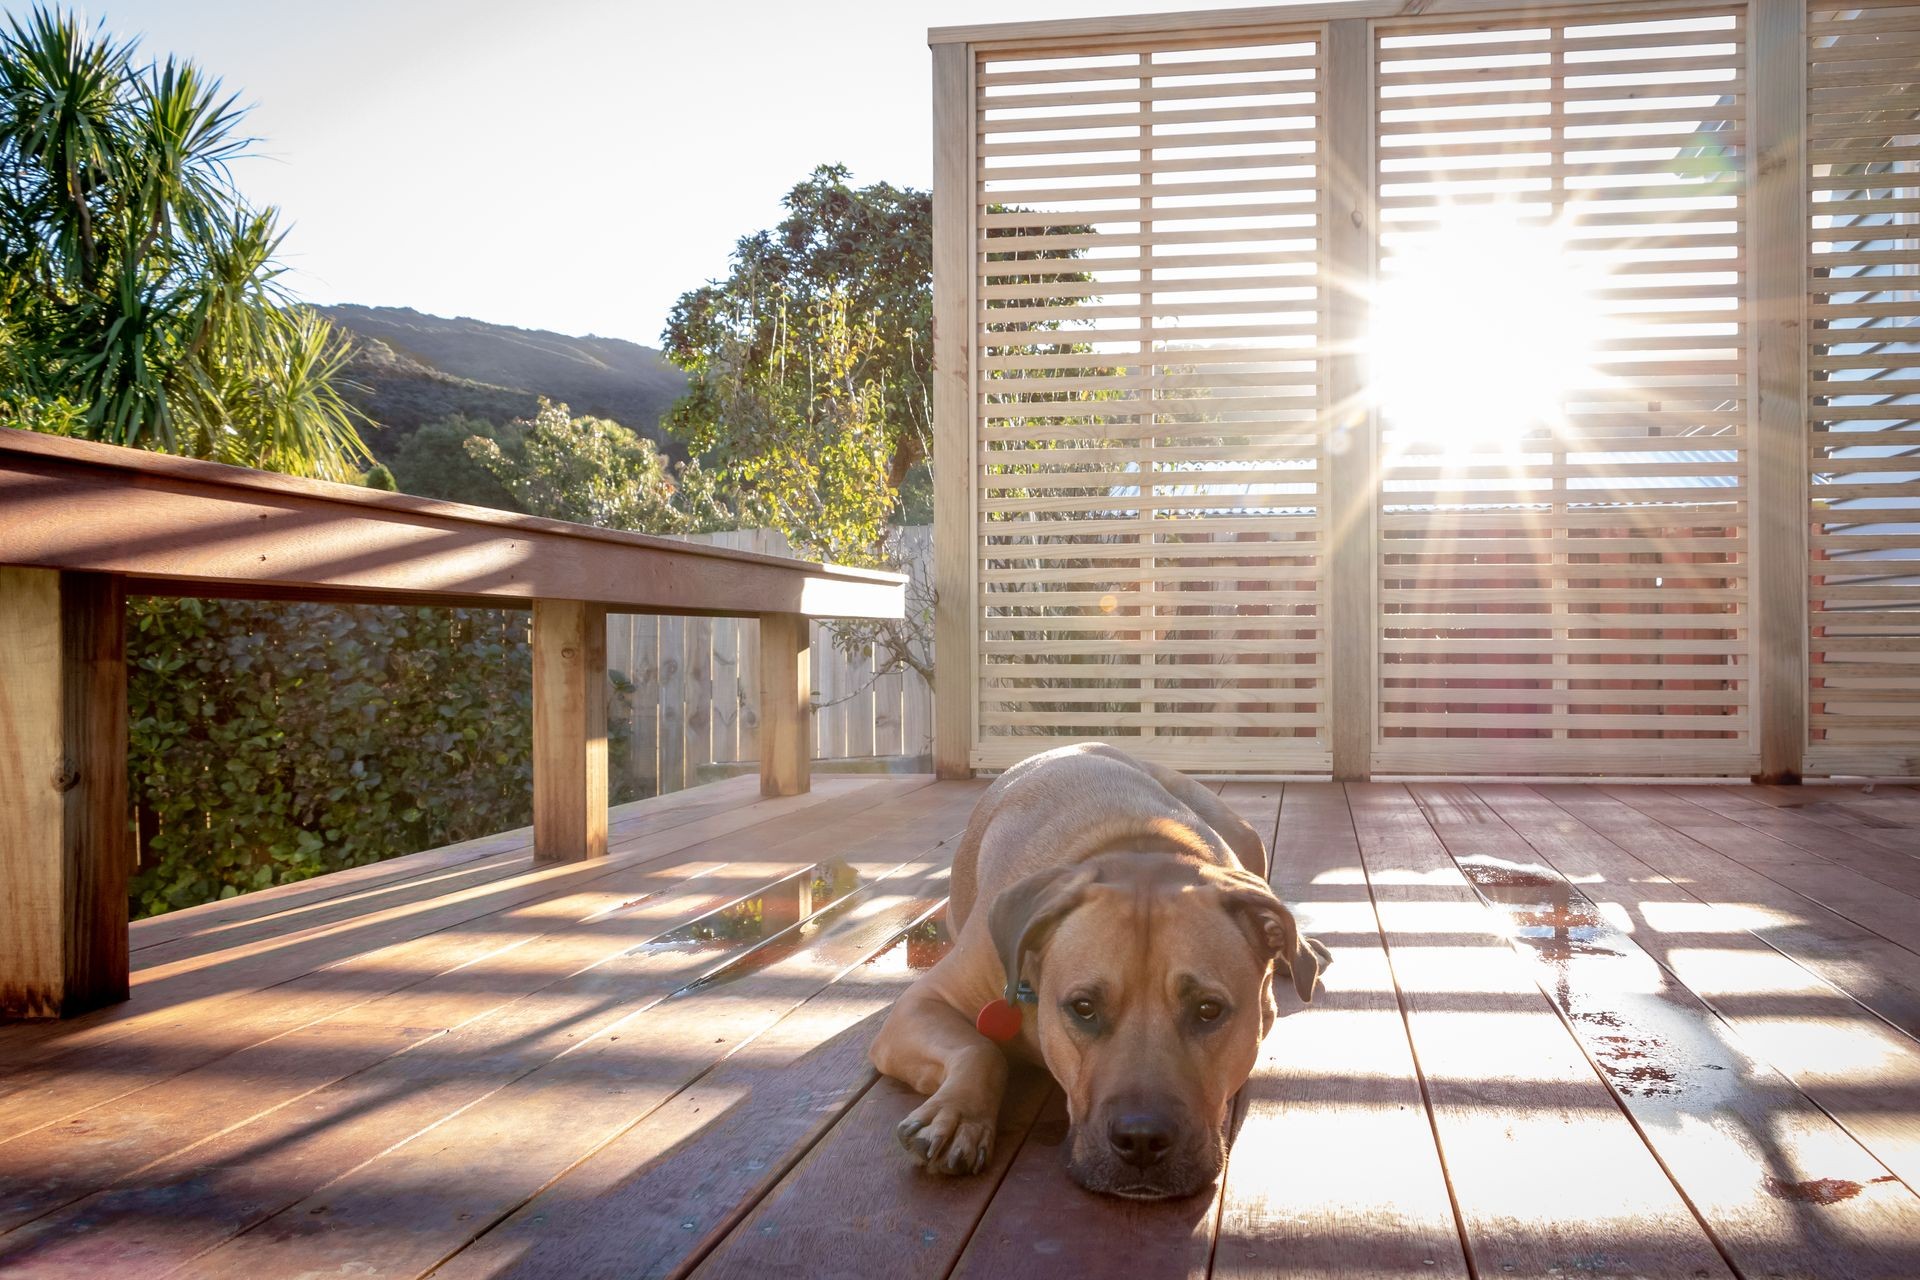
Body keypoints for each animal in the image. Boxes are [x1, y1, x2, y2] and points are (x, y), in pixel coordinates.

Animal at [875, 740, 1336, 1205]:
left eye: (1209, 1010)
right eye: (1083, 1007)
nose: (1142, 1140)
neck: (1139, 847)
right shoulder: (921, 1003)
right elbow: (980, 1049)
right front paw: (956, 1115)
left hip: (1243, 836)